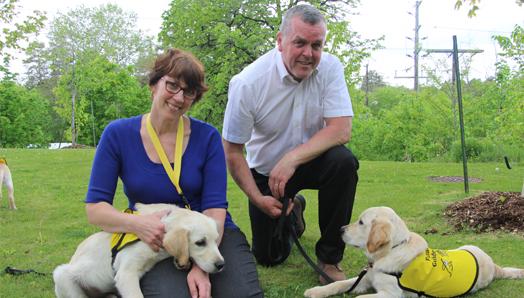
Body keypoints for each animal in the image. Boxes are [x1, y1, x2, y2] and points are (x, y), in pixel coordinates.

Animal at [302, 207, 524, 298]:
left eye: (361, 222)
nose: (340, 229)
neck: (390, 251)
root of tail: (494, 266)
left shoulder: (390, 294)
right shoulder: (364, 280)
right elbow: (338, 284)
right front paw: (315, 291)